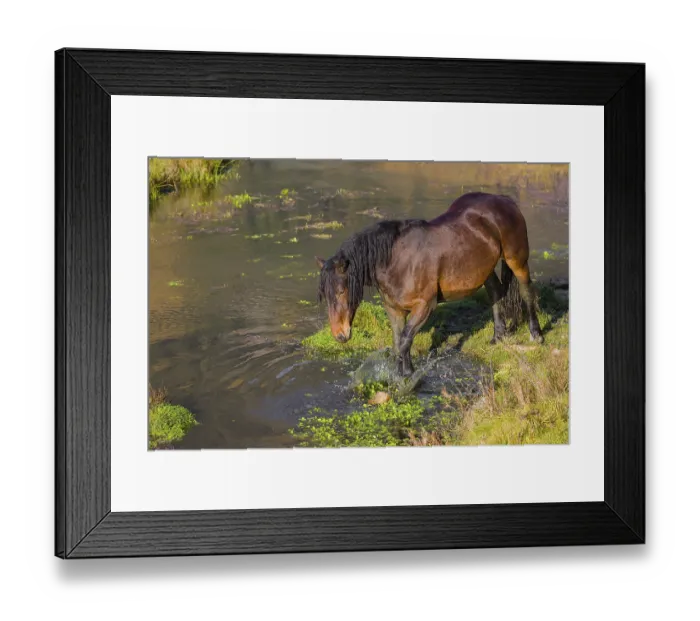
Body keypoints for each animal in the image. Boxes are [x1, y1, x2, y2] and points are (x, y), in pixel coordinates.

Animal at [315, 192, 544, 377]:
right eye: (325, 296)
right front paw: (402, 372)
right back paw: (498, 336)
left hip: (517, 260)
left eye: (341, 291)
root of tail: (505, 200)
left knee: (526, 292)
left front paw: (406, 376)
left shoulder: (424, 305)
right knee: (496, 291)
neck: (396, 260)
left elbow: (406, 339)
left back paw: (536, 334)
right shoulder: (394, 309)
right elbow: (399, 341)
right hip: (484, 268)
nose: (339, 335)